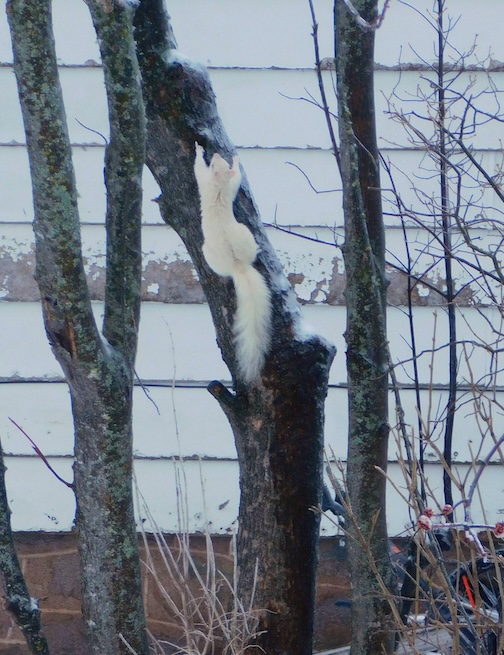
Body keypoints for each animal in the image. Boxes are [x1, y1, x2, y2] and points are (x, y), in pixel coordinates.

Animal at [193, 142, 272, 383]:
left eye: (217, 164)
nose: (217, 153)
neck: (219, 186)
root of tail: (237, 264)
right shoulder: (225, 185)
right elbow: (236, 178)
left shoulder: (205, 181)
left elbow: (197, 170)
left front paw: (198, 150)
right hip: (245, 234)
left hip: (209, 251)